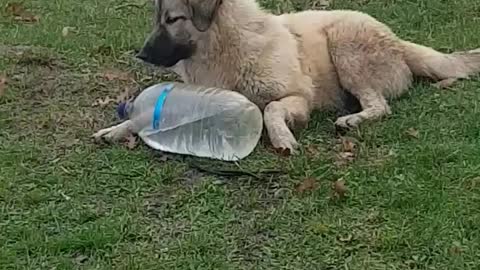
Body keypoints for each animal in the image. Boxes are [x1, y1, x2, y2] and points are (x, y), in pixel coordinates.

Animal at [92, 0, 478, 153]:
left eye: (173, 20)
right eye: (158, 20)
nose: (141, 54)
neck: (224, 48)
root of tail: (398, 41)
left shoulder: (297, 97)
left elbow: (270, 109)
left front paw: (282, 137)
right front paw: (118, 129)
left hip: (344, 45)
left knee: (380, 106)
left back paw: (352, 119)